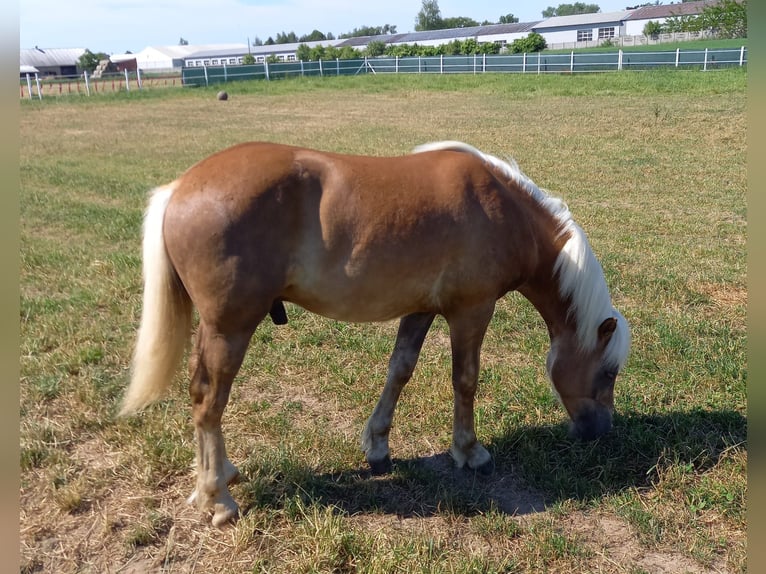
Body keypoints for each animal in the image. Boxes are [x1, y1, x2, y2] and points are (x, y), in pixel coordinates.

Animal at [120, 140, 630, 527]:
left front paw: (378, 448)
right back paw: (218, 500)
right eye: (607, 373)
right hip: (230, 328)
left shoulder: (422, 309)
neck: (501, 206)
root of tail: (180, 188)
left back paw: (221, 475)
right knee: (209, 401)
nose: (601, 432)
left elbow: (399, 371)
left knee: (203, 398)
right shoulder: (471, 310)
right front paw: (469, 452)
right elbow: (465, 381)